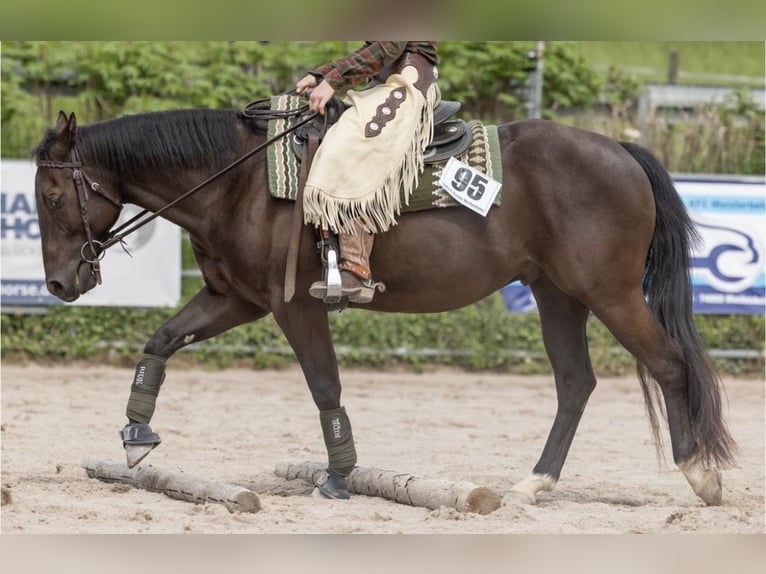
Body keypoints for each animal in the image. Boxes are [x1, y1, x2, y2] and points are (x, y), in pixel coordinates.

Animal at [33, 108, 736, 508]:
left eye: (52, 196)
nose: (61, 284)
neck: (242, 182)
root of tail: (620, 151)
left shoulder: (295, 307)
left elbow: (325, 387)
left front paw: (340, 477)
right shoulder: (235, 299)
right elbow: (160, 340)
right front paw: (135, 437)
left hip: (609, 293)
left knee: (670, 365)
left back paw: (700, 475)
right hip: (557, 295)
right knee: (575, 384)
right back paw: (535, 484)